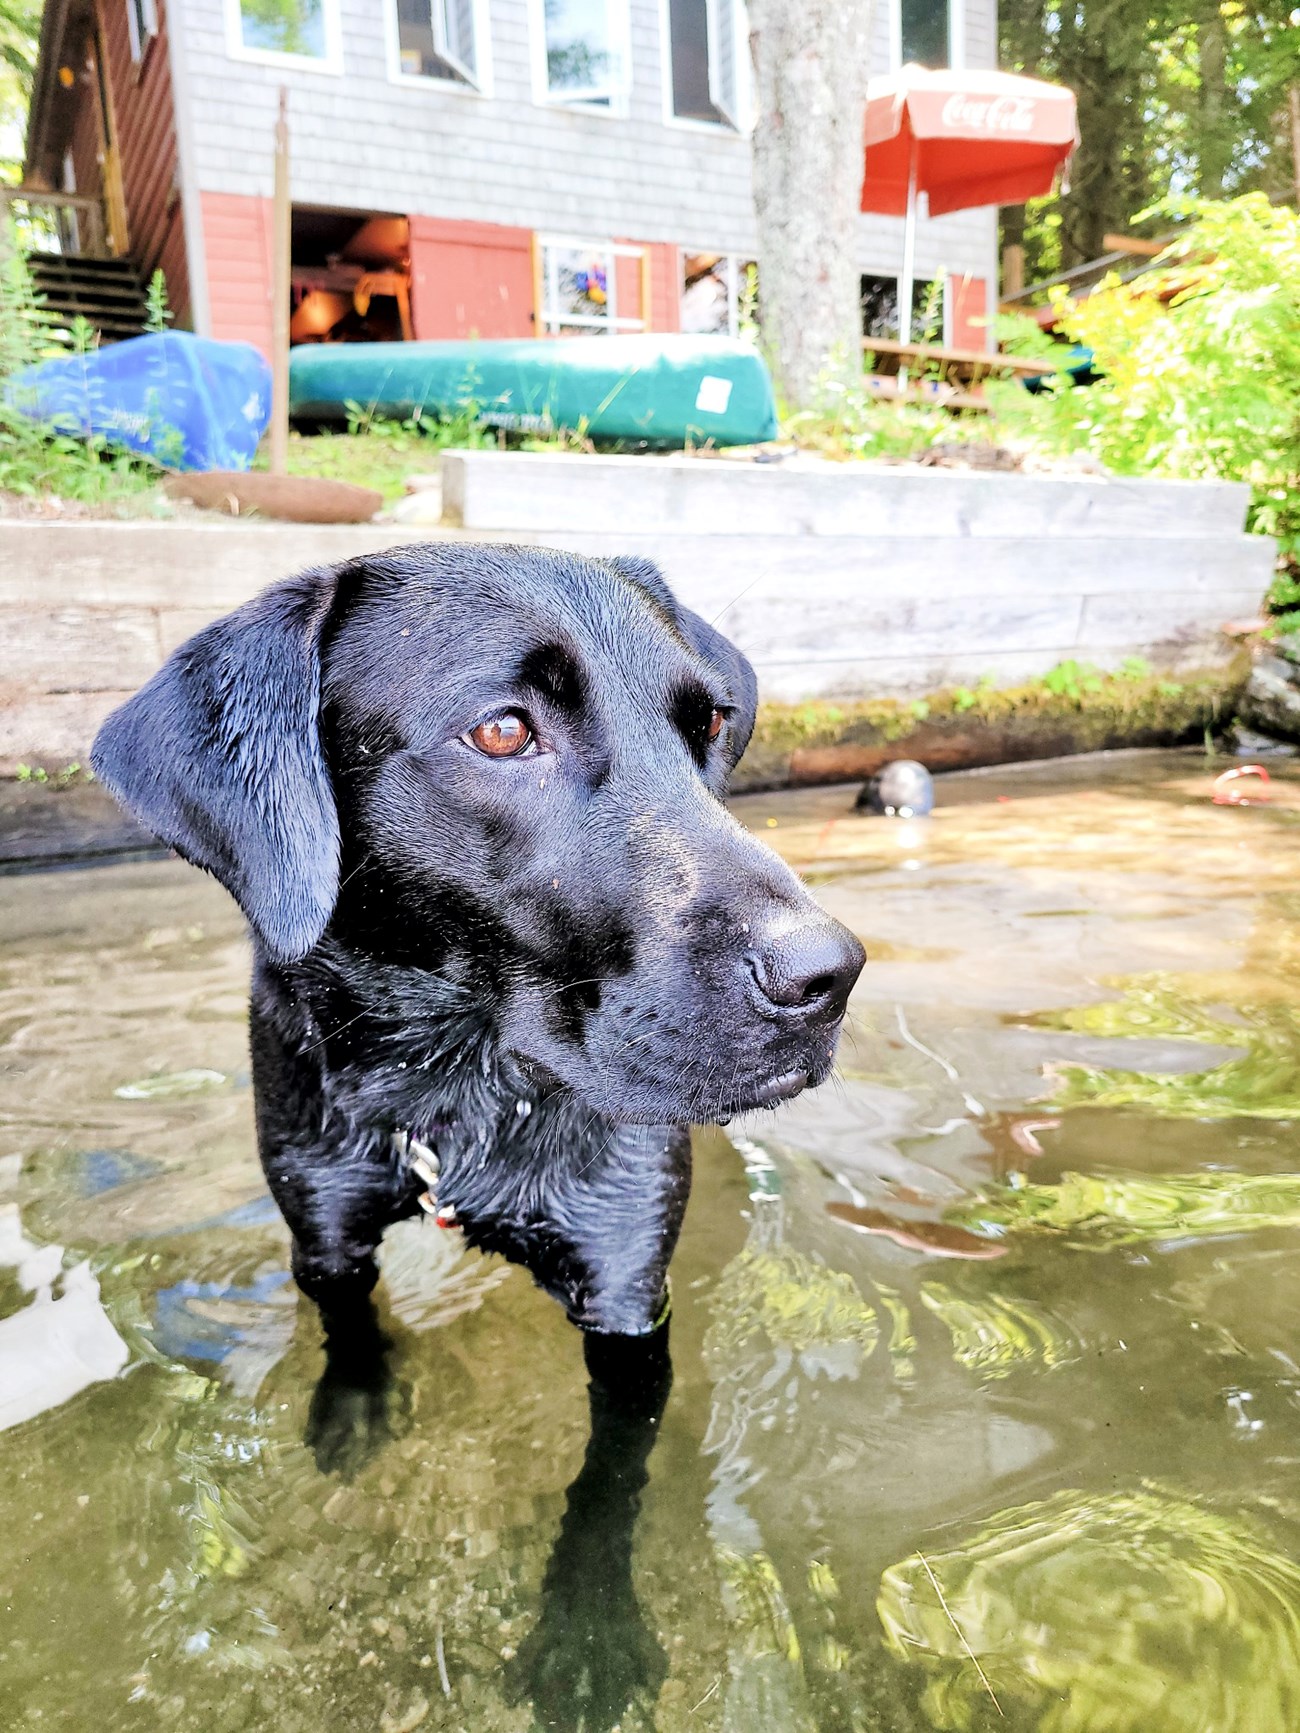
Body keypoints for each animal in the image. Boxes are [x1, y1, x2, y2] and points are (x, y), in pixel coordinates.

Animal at [91, 547, 866, 1358]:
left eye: (710, 721)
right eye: (502, 732)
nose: (827, 976)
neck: (453, 1089)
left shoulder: (624, 1265)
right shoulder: (325, 1236)